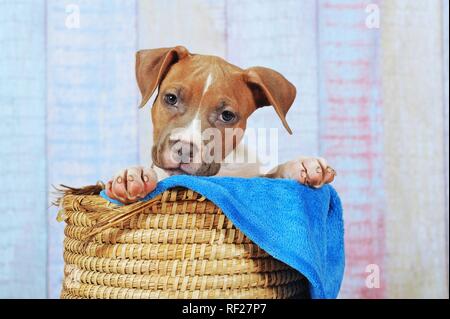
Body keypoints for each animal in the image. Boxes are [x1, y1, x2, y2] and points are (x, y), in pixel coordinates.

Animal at [107, 45, 336, 205]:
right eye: (171, 98)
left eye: (227, 115)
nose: (184, 150)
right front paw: (132, 175)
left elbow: (272, 174)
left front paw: (302, 164)